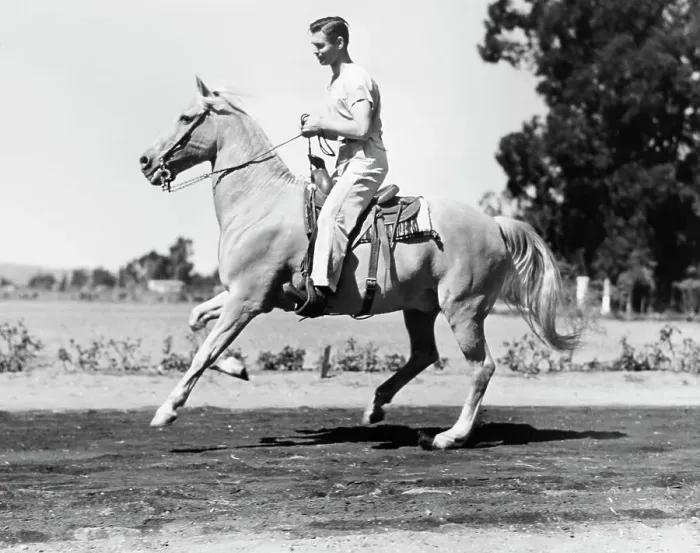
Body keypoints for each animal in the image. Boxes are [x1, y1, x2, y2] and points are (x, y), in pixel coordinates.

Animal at [138, 77, 579, 450]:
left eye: (185, 117)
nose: (145, 161)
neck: (261, 203)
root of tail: (495, 224)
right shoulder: (243, 295)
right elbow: (197, 321)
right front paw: (237, 367)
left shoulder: (247, 299)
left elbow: (204, 351)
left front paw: (166, 411)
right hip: (421, 308)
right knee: (424, 355)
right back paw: (375, 407)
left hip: (464, 310)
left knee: (481, 366)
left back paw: (450, 436)